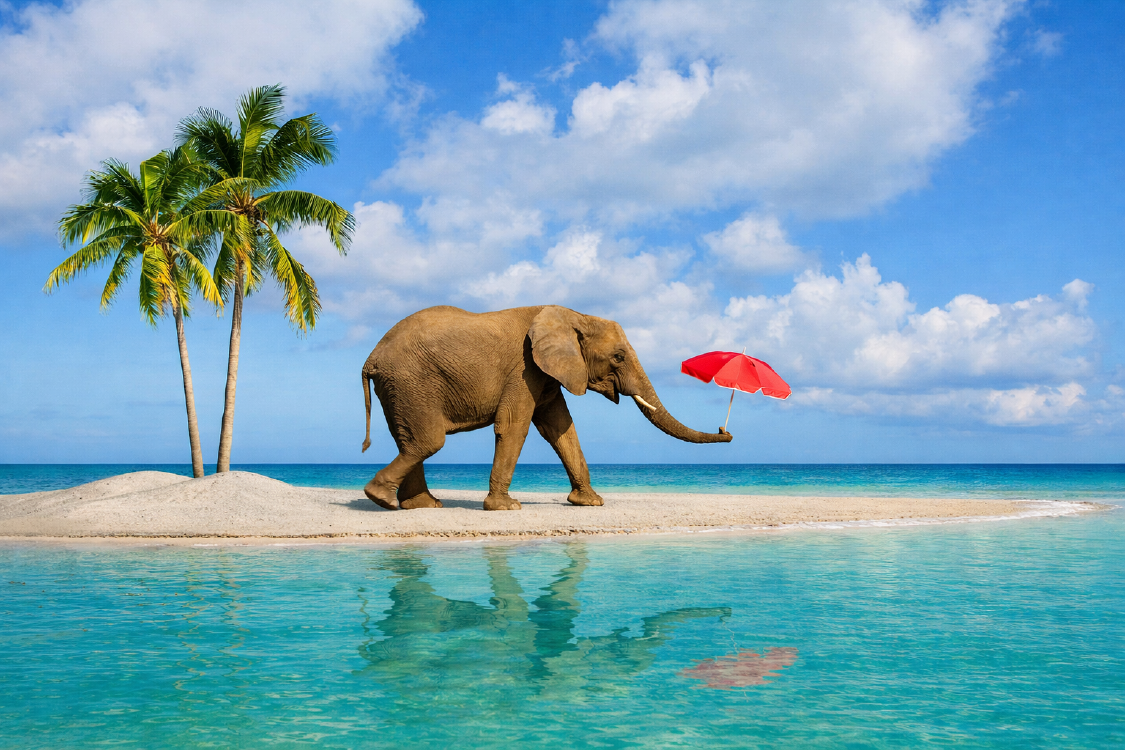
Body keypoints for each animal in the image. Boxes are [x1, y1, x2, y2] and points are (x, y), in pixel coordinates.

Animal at [361, 305, 732, 511]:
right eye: (618, 357)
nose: (725, 431)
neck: (575, 316)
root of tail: (370, 358)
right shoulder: (524, 368)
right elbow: (514, 424)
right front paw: (506, 508)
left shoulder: (548, 373)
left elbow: (560, 428)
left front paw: (590, 503)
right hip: (410, 382)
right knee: (429, 441)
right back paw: (380, 498)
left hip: (400, 387)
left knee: (411, 440)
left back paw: (419, 505)